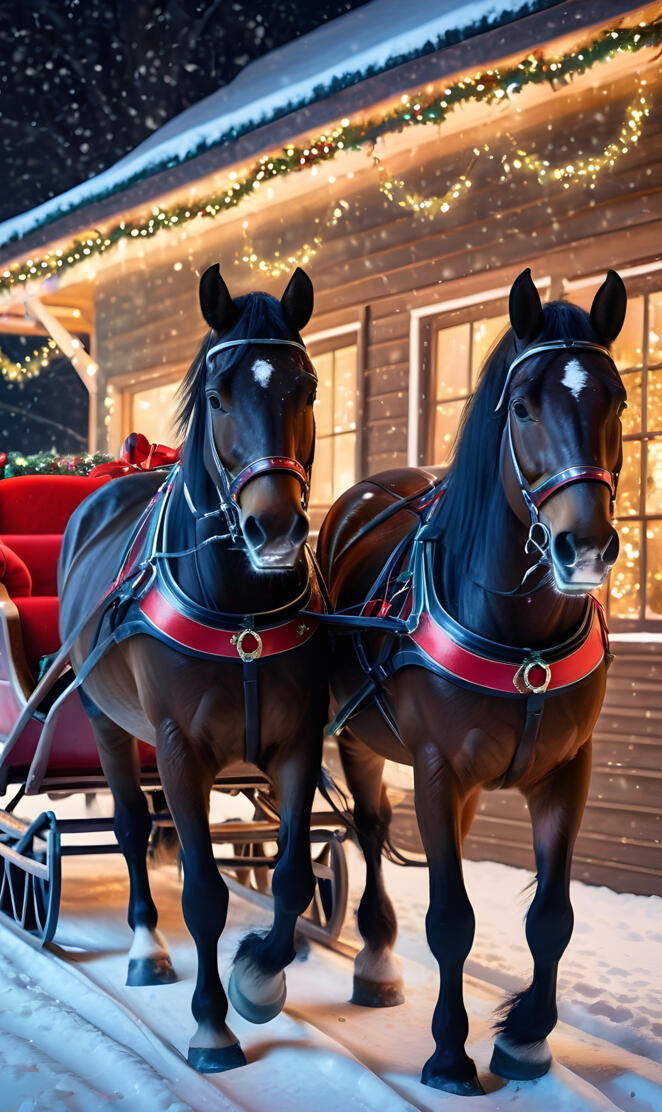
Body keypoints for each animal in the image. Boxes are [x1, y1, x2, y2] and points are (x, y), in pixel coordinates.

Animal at [58, 264, 329, 1072]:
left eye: (307, 387)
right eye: (218, 396)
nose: (276, 529)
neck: (240, 609)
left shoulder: (299, 742)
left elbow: (291, 876)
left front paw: (260, 976)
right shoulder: (179, 749)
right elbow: (205, 893)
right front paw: (212, 1024)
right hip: (106, 722)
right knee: (128, 826)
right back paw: (146, 945)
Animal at [316, 268, 627, 1096]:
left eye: (617, 400)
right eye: (522, 406)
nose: (585, 545)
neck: (520, 630)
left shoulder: (568, 770)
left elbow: (552, 917)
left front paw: (526, 1040)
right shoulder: (435, 768)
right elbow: (450, 919)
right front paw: (450, 1053)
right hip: (358, 738)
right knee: (368, 830)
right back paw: (371, 956)